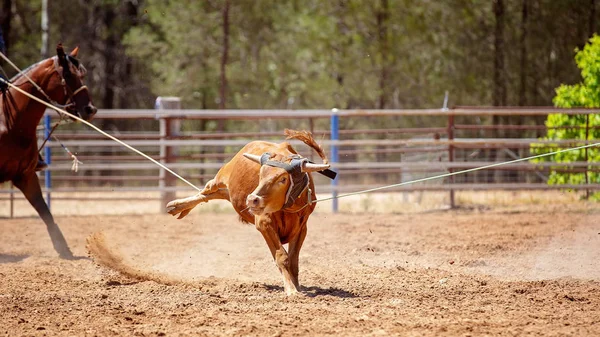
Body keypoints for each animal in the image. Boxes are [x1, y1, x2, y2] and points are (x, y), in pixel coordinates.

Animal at [0, 44, 96, 258]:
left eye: (82, 74)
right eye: (67, 74)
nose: (90, 109)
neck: (9, 122)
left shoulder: (26, 176)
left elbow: (45, 212)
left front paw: (63, 249)